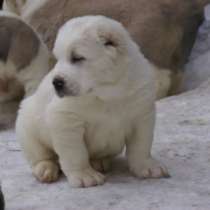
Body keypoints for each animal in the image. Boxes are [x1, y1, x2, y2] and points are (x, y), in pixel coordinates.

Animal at [15, 15, 169, 188]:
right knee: (41, 155)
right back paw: (45, 169)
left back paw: (99, 162)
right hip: (27, 127)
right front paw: (84, 175)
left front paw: (148, 166)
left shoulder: (142, 112)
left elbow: (141, 145)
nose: (56, 82)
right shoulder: (65, 118)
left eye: (77, 58)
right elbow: (75, 152)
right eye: (58, 59)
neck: (107, 92)